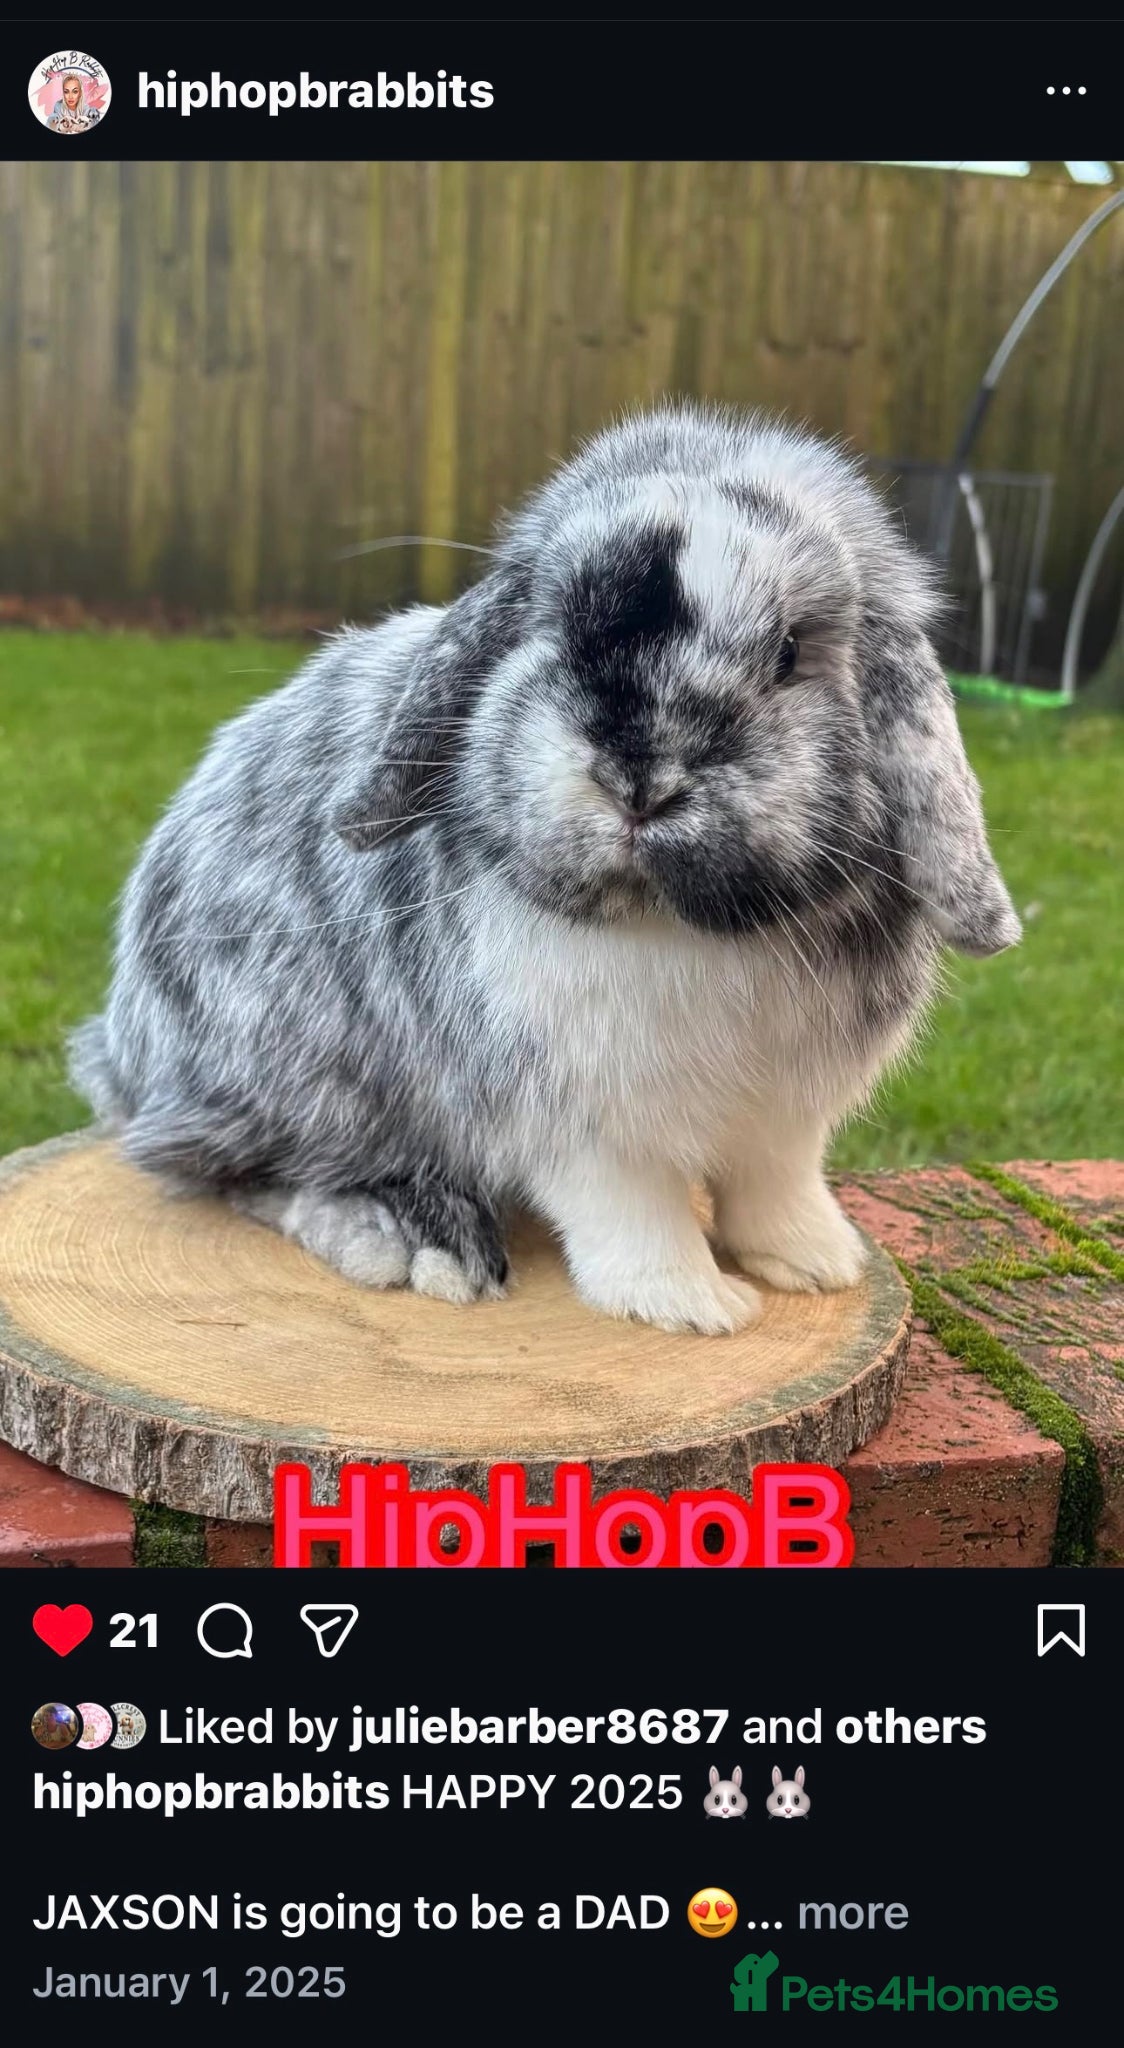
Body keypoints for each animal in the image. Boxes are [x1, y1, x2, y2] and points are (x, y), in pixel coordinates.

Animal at [69, 402, 1020, 1335]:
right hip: (291, 1086)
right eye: (555, 628)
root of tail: (120, 1055)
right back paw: (413, 1238)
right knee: (227, 1172)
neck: (672, 925)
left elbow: (777, 1184)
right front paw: (692, 1305)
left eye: (790, 651)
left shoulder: (786, 1117)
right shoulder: (580, 1125)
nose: (640, 779)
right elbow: (636, 1213)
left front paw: (816, 1265)